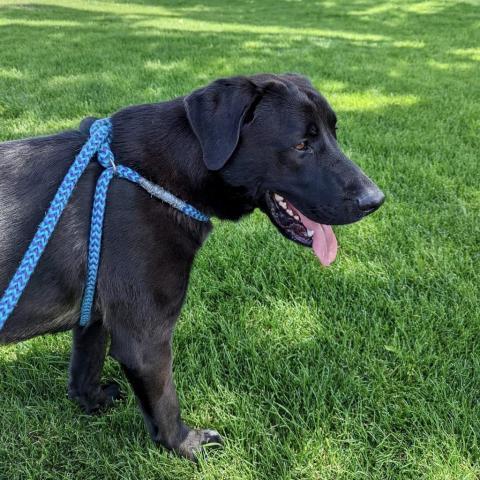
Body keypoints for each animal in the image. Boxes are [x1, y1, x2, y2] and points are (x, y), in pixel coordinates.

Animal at [0, 73, 382, 460]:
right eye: (302, 145)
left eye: (334, 133)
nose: (376, 200)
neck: (156, 178)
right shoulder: (145, 339)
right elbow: (166, 404)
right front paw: (187, 444)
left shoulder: (95, 312)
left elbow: (85, 366)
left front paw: (91, 401)